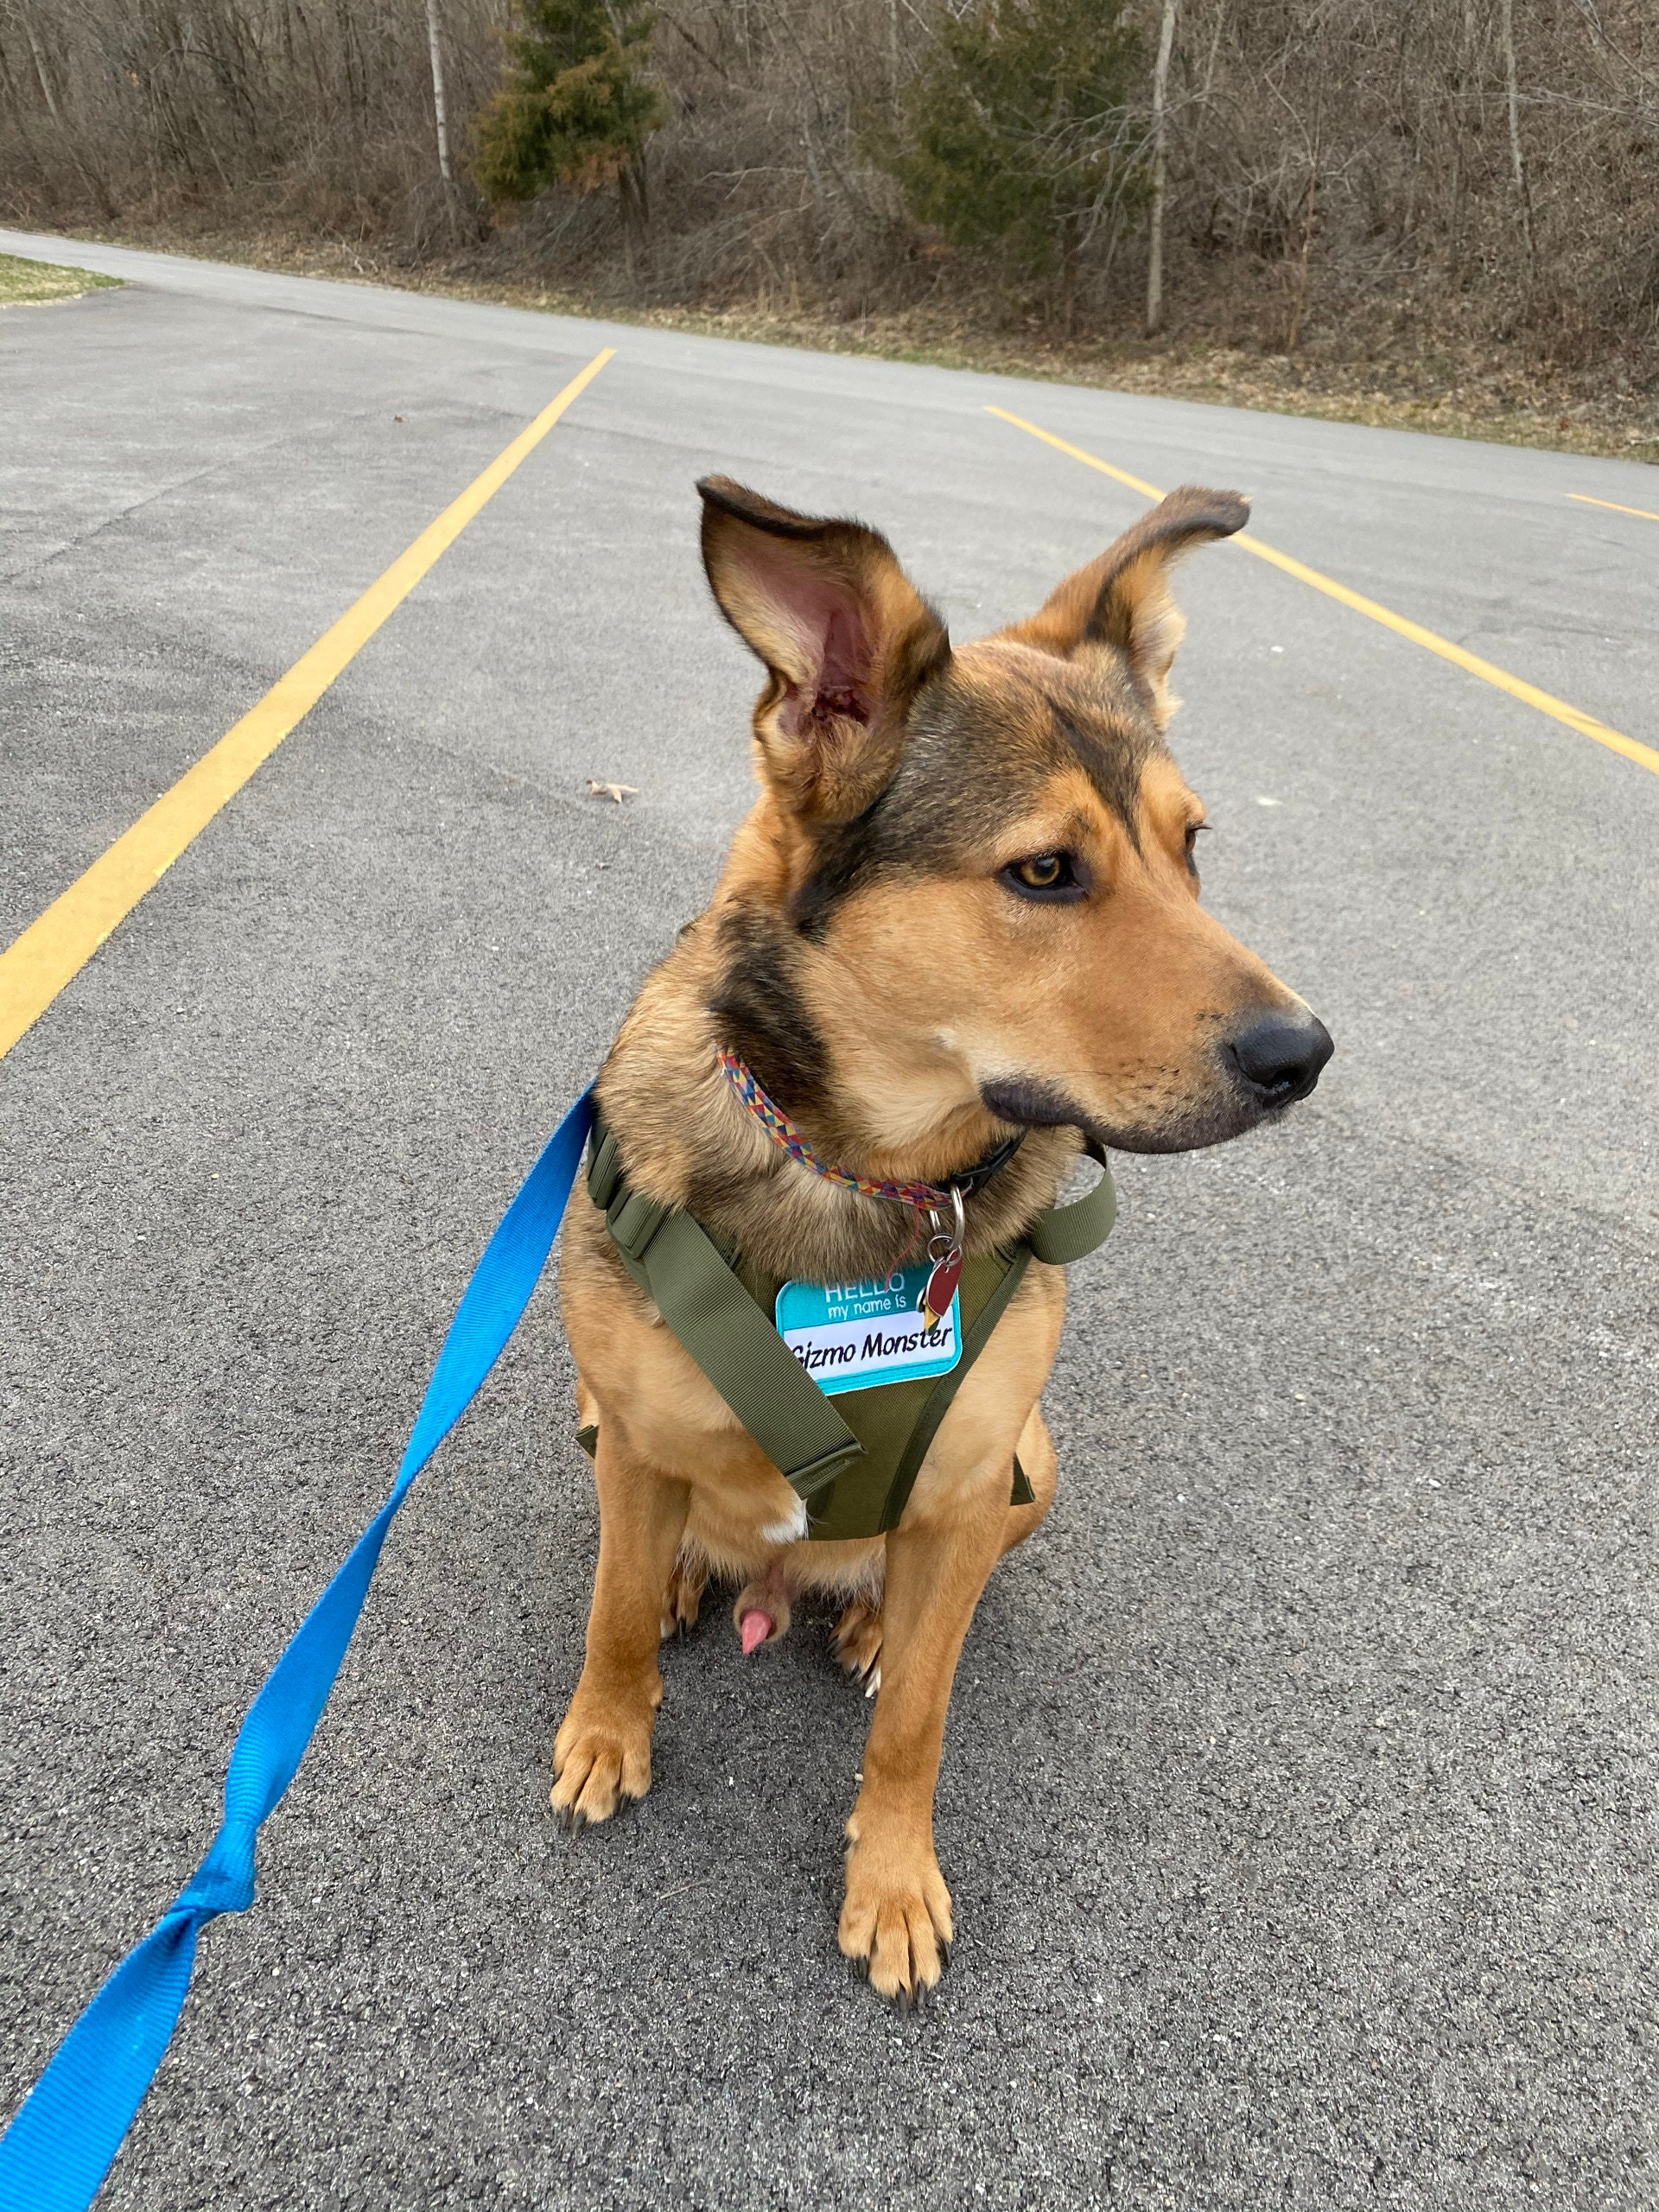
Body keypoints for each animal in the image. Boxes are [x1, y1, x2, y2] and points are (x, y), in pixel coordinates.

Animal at [554, 475, 1332, 2001]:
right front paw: (610, 1729)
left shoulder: (974, 1489)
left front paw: (893, 1879)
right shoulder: (641, 1422)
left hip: (1034, 1463)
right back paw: (683, 1582)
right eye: (1044, 872)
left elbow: (916, 1718)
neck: (875, 1182)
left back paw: (857, 1615)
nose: (1307, 1055)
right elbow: (610, 1612)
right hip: (604, 1416)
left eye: (1193, 846)